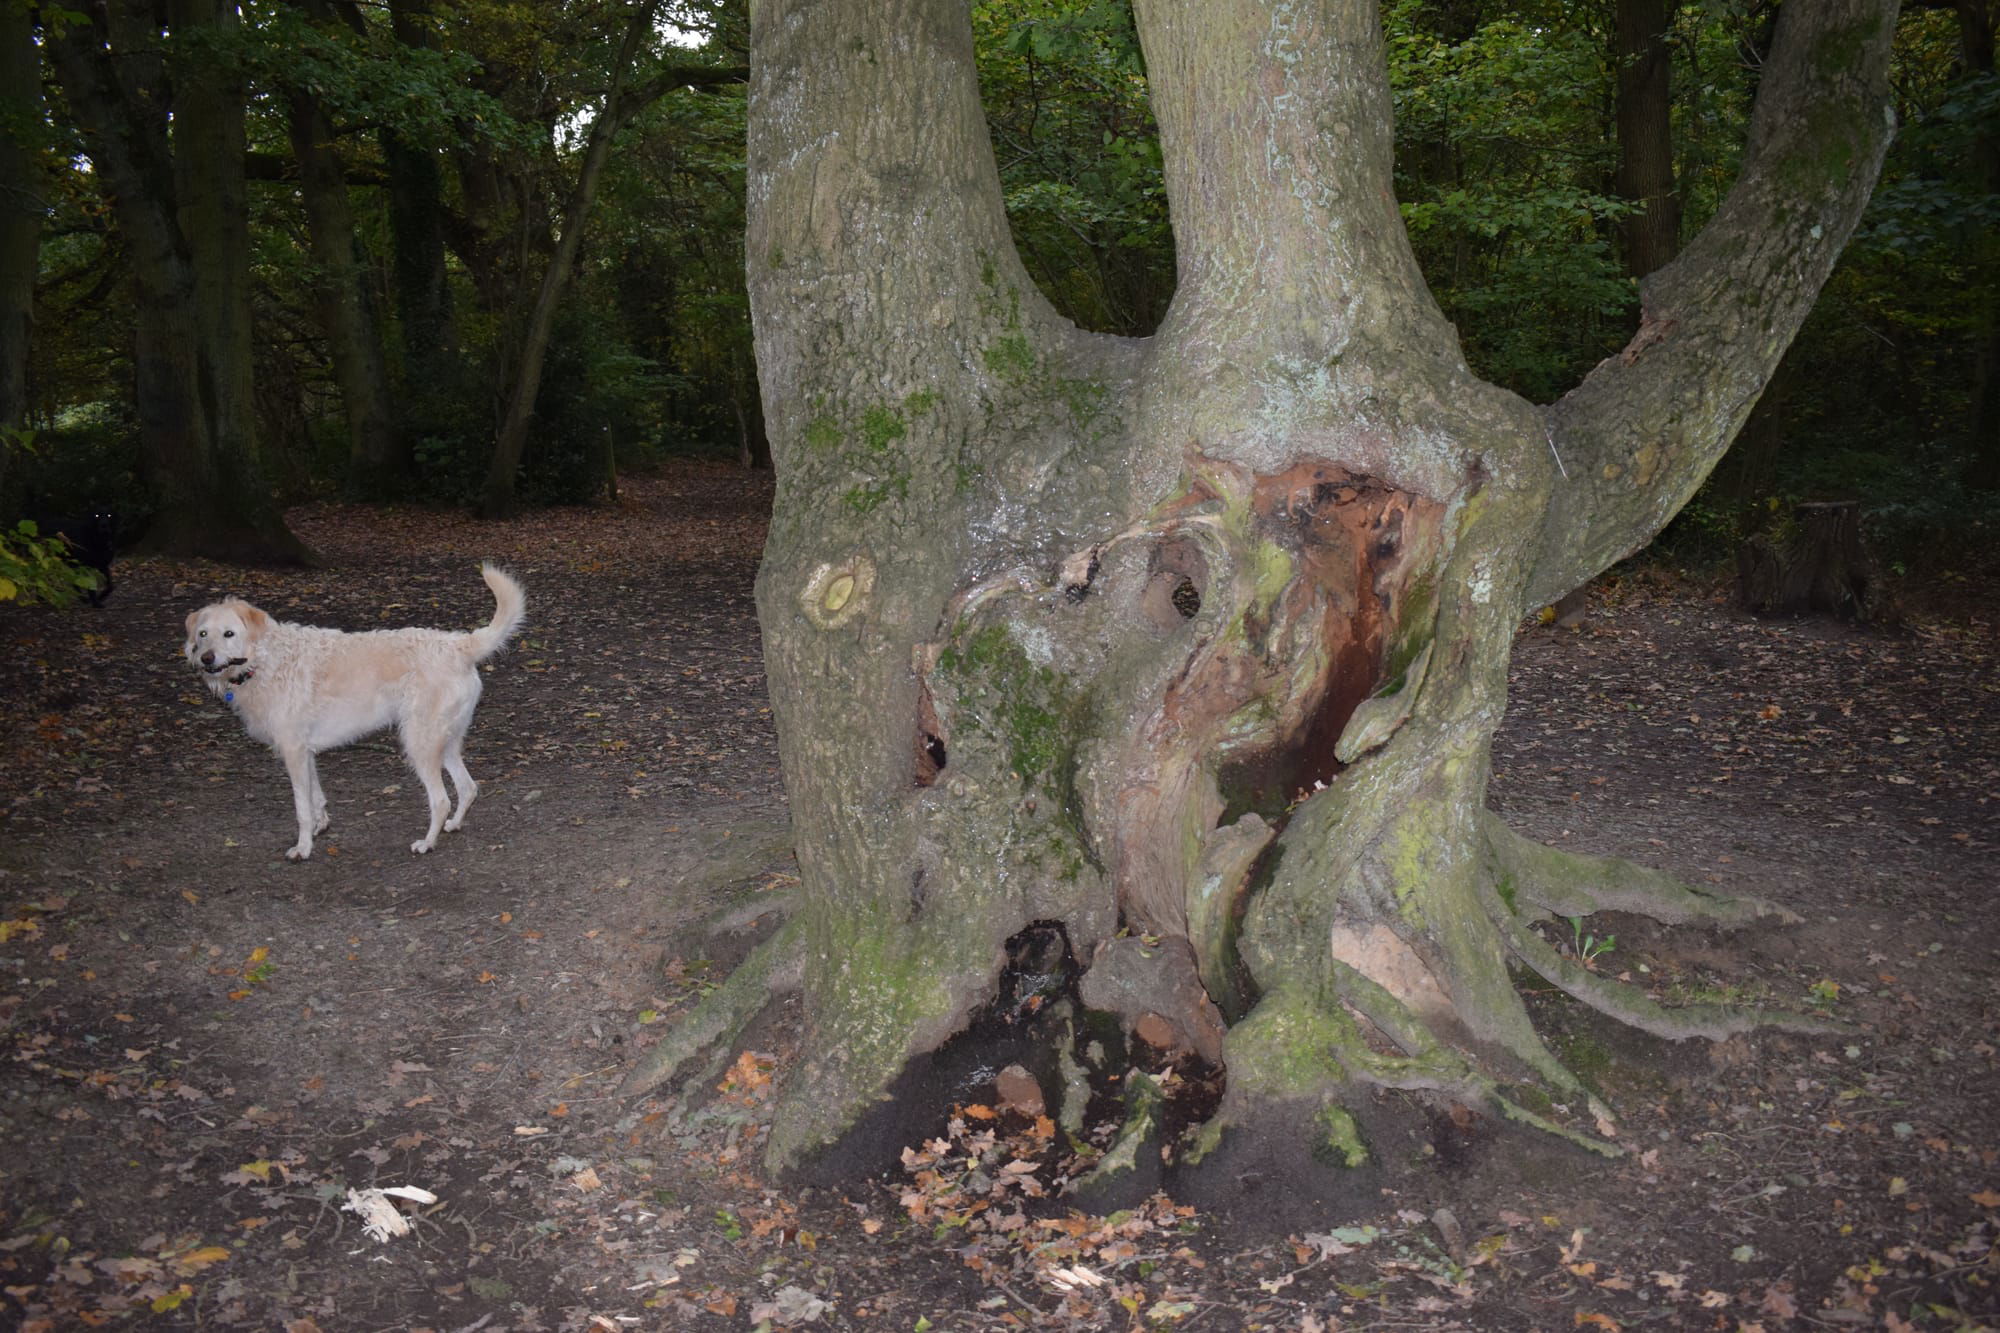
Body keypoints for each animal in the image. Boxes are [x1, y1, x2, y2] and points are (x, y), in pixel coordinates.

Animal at [185, 564, 528, 860]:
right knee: (468, 788)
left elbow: (301, 808)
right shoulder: (305, 752)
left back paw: (427, 843)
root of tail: (458, 644)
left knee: (441, 800)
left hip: (419, 743)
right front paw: (321, 827)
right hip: (445, 742)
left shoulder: (293, 751)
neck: (265, 659)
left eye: (229, 634)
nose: (205, 659)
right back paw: (453, 825)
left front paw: (303, 848)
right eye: (203, 634)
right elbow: (316, 797)